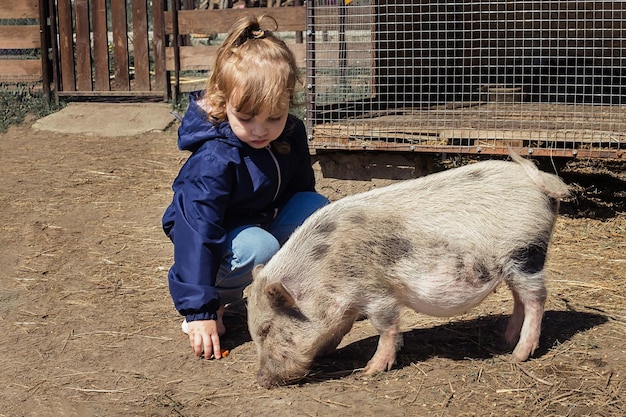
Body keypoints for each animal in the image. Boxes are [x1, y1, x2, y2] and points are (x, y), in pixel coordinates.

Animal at [246, 152, 568, 386]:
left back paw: (518, 356)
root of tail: (539, 181)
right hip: (512, 264)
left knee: (536, 299)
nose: (261, 380)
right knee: (519, 299)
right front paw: (328, 351)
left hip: (527, 253)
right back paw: (505, 339)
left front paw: (371, 370)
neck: (325, 273)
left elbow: (385, 327)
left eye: (266, 329)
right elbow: (342, 326)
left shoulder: (378, 292)